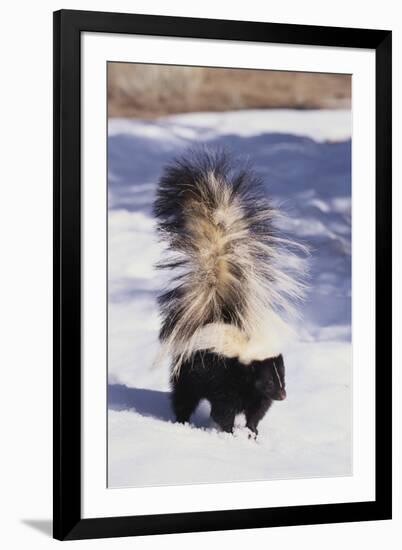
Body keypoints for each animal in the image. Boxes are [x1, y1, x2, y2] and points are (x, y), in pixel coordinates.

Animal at [154, 152, 308, 436]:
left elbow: (255, 413)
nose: (283, 395)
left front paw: (252, 433)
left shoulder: (253, 395)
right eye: (269, 380)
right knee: (183, 397)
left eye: (282, 376)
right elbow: (223, 411)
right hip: (188, 371)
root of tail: (213, 316)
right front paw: (227, 433)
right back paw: (181, 421)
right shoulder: (225, 381)